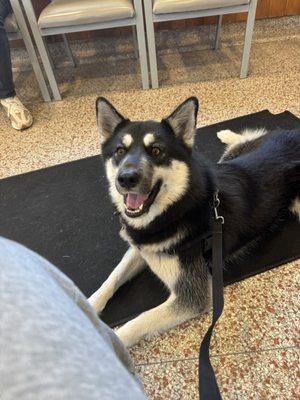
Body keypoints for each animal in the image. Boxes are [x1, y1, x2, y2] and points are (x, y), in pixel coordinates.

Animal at [89, 97, 300, 346]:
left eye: (156, 150)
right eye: (120, 151)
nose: (126, 179)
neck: (175, 210)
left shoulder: (191, 296)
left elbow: (136, 323)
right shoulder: (141, 247)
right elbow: (112, 278)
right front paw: (86, 304)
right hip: (232, 156)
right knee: (247, 137)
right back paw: (227, 133)